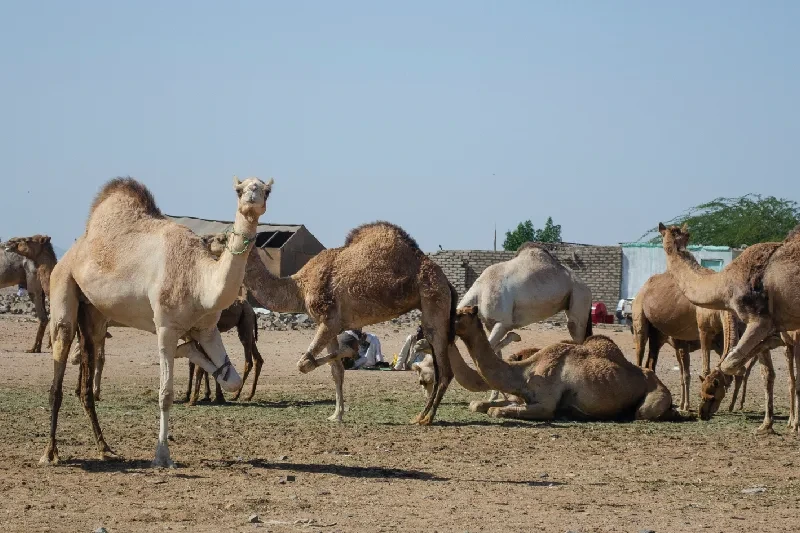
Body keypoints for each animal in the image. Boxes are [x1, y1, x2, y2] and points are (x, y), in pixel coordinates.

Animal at [41, 176, 272, 466]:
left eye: (267, 190)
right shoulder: (165, 327)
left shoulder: (207, 329)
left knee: (86, 377)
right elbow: (165, 394)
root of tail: (73, 251)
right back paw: (50, 453)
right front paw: (162, 455)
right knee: (58, 368)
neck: (199, 279)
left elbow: (231, 380)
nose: (252, 196)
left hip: (93, 313)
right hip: (63, 286)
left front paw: (193, 353)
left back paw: (105, 448)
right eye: (239, 190)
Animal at [219, 221, 456, 424]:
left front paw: (349, 351)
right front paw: (337, 415)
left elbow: (304, 363)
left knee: (445, 369)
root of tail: (446, 280)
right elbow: (336, 371)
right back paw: (421, 415)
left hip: (434, 298)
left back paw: (426, 418)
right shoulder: (329, 325)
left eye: (222, 239)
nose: (211, 242)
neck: (299, 287)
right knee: (438, 367)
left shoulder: (329, 320)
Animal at [454, 306, 680, 422]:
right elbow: (479, 405)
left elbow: (496, 410)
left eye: (460, 314)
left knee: (643, 412)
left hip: (655, 395)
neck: (526, 371)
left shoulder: (545, 404)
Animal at [632, 272, 736, 410]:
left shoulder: (719, 342)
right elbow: (696, 371)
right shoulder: (699, 335)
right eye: (711, 391)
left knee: (651, 362)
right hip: (639, 319)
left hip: (657, 335)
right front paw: (686, 405)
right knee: (640, 351)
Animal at [656, 222, 800, 430]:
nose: (702, 413)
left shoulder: (759, 319)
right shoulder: (768, 326)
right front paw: (766, 426)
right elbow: (763, 371)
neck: (727, 282)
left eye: (710, 394)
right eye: (681, 234)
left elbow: (730, 363)